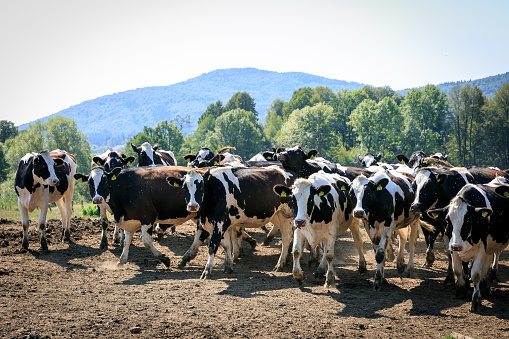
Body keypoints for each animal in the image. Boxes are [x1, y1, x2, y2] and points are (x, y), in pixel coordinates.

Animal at [74, 166, 204, 266]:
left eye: (105, 181)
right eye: (90, 182)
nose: (98, 199)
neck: (126, 187)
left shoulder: (147, 217)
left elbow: (146, 241)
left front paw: (164, 259)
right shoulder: (129, 220)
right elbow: (126, 241)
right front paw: (121, 261)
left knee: (199, 235)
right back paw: (187, 258)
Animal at [165, 166, 296, 280]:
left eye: (201, 187)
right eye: (184, 188)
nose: (192, 206)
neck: (214, 191)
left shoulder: (219, 223)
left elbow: (212, 246)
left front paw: (207, 271)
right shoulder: (218, 224)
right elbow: (226, 244)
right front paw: (228, 267)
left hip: (287, 214)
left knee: (286, 238)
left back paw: (280, 263)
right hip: (278, 215)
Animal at [426, 183, 508, 314]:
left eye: (468, 220)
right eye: (447, 221)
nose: (457, 246)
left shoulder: (481, 248)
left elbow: (475, 274)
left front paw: (476, 300)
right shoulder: (452, 246)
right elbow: (457, 270)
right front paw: (461, 290)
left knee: (494, 256)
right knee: (486, 262)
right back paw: (484, 285)